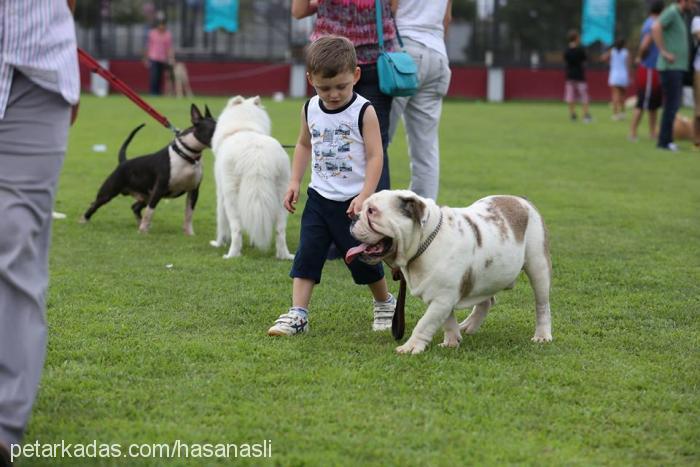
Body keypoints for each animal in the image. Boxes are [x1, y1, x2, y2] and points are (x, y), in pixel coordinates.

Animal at [81, 103, 216, 233]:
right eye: (214, 130)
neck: (186, 155)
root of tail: (124, 161)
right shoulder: (159, 189)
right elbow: (150, 211)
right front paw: (143, 231)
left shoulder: (193, 191)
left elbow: (189, 213)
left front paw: (189, 233)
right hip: (109, 192)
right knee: (95, 204)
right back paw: (83, 220)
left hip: (145, 195)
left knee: (135, 207)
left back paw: (140, 223)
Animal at [209, 97, 294, 262]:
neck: (244, 126)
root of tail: (257, 156)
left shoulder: (220, 194)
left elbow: (221, 222)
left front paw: (218, 243)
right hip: (283, 197)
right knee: (280, 230)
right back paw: (284, 255)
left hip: (231, 198)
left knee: (236, 229)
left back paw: (231, 255)